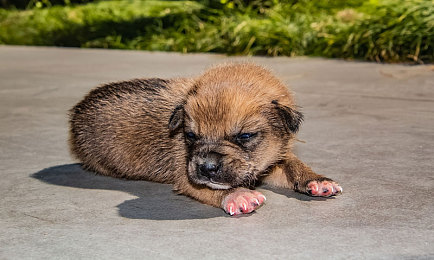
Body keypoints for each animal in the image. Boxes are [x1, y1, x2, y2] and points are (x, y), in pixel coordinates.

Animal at [68, 63, 342, 215]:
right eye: (190, 135)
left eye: (245, 136)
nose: (207, 167)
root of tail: (77, 110)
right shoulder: (185, 174)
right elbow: (209, 188)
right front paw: (238, 195)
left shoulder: (272, 159)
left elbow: (293, 164)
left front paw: (317, 180)